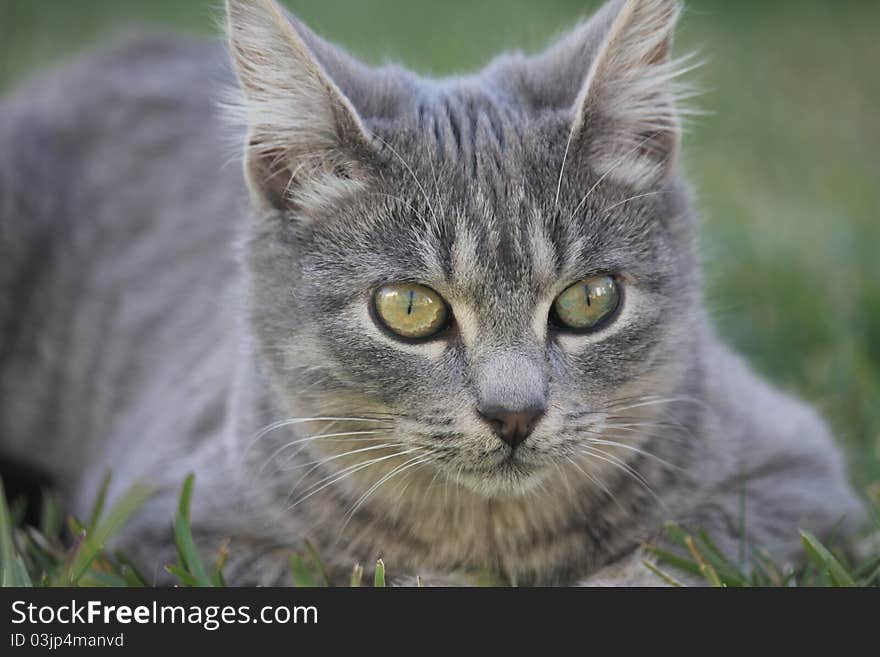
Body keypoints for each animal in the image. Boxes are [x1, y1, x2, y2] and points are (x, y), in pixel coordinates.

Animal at [0, 0, 868, 584]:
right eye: (409, 308)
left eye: (590, 299)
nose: (514, 412)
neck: (487, 535)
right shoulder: (170, 521)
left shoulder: (795, 478)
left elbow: (663, 563)